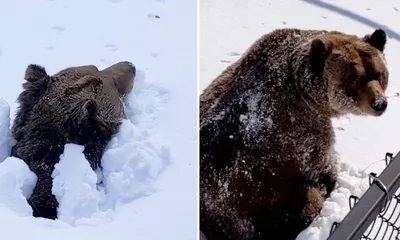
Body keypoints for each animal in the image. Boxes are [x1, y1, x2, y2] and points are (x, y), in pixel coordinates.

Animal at [202, 28, 390, 240]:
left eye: (379, 73)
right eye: (354, 78)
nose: (379, 103)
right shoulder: (302, 131)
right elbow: (322, 165)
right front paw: (330, 178)